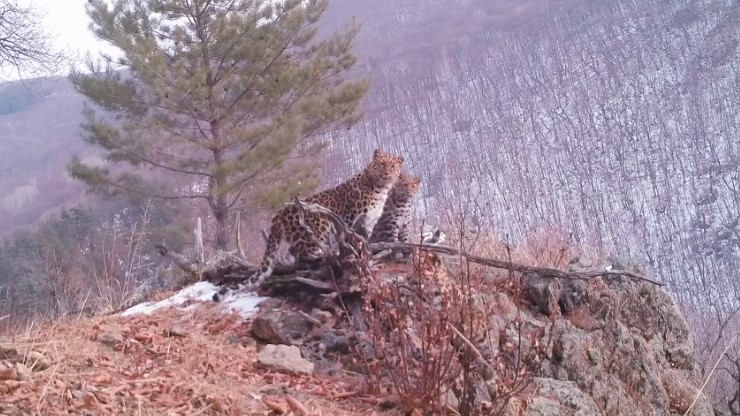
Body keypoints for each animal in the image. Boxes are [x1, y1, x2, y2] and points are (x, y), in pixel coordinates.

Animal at [211, 148, 408, 300]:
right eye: (381, 164)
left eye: (392, 166)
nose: (387, 173)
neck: (380, 189)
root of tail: (277, 215)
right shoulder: (351, 220)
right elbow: (351, 239)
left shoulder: (368, 223)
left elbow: (364, 242)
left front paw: (368, 254)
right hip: (317, 225)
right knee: (301, 251)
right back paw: (324, 253)